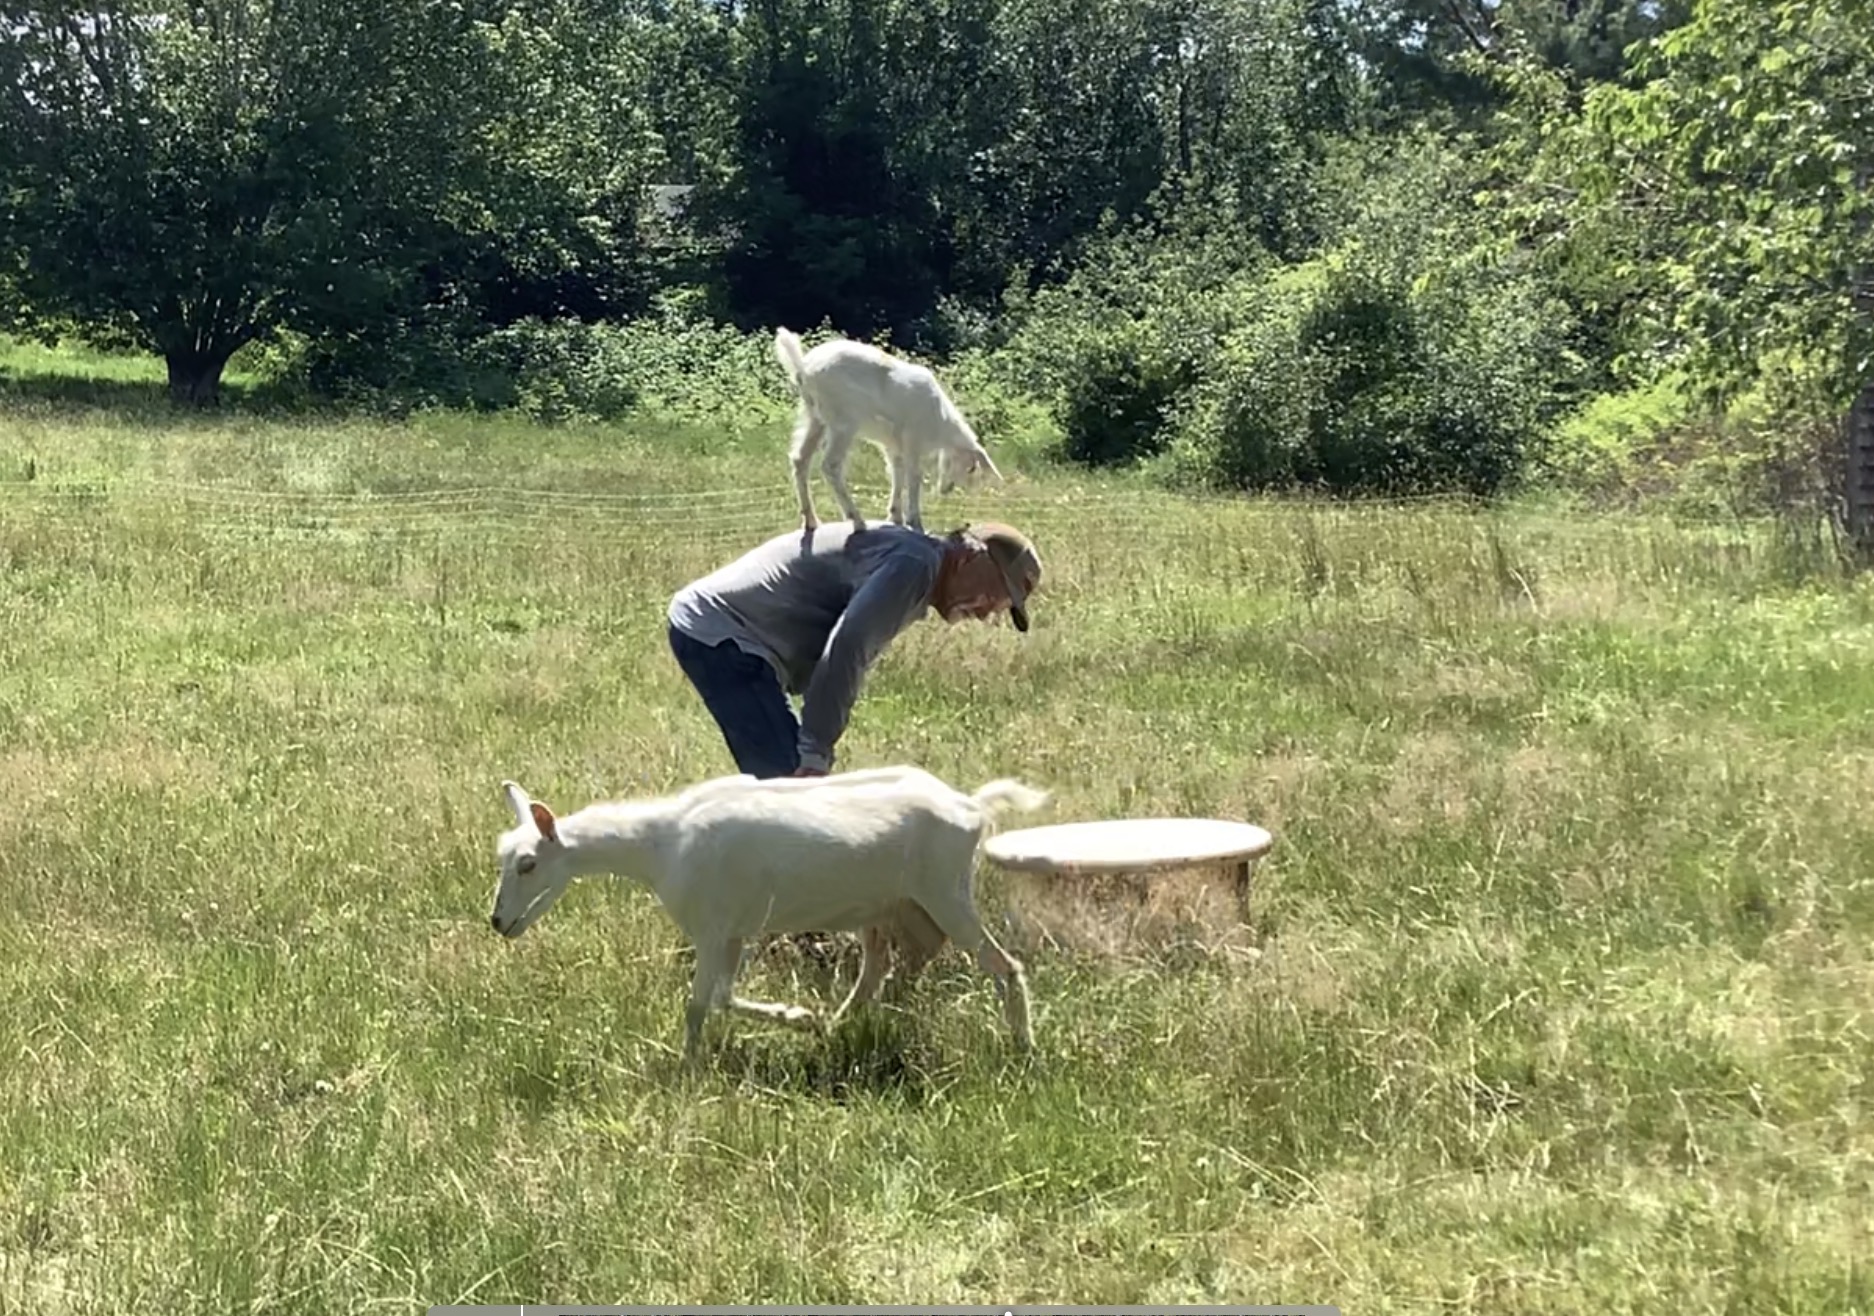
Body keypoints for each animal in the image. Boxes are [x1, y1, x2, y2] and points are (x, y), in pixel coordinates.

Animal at [488, 766, 1048, 1059]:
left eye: (528, 863)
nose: (498, 922)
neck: (661, 844)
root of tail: (972, 807)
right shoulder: (734, 932)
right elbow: (721, 998)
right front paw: (797, 1017)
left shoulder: (712, 928)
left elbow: (699, 1004)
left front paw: (686, 1067)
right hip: (890, 905)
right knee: (881, 967)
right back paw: (834, 1026)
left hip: (946, 892)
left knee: (1005, 966)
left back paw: (1024, 1048)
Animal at [774, 327, 1002, 534]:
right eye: (971, 468)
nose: (947, 490)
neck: (941, 422)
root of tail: (803, 369)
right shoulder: (912, 438)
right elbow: (914, 476)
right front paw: (916, 523)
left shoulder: (893, 444)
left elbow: (896, 472)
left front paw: (896, 516)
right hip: (843, 421)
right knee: (830, 466)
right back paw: (857, 520)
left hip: (814, 417)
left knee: (800, 459)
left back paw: (811, 521)